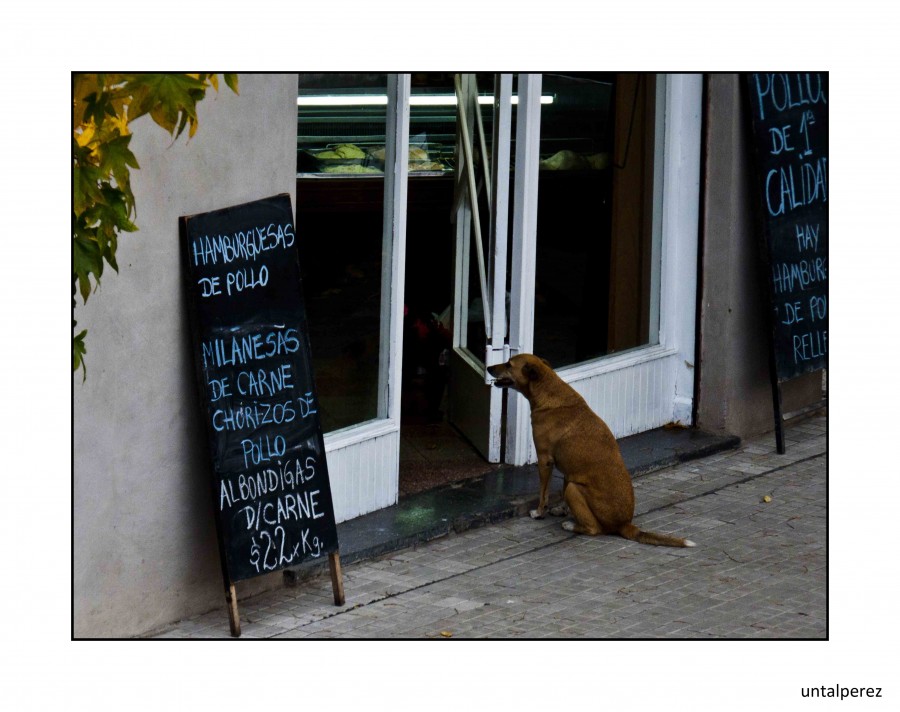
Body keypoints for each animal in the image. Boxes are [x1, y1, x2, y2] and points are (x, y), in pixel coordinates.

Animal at [488, 354, 692, 548]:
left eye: (508, 364)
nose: (489, 367)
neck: (548, 388)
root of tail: (626, 525)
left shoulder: (544, 460)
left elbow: (543, 493)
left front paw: (539, 513)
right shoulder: (568, 469)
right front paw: (561, 509)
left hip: (574, 489)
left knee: (594, 529)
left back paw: (571, 525)